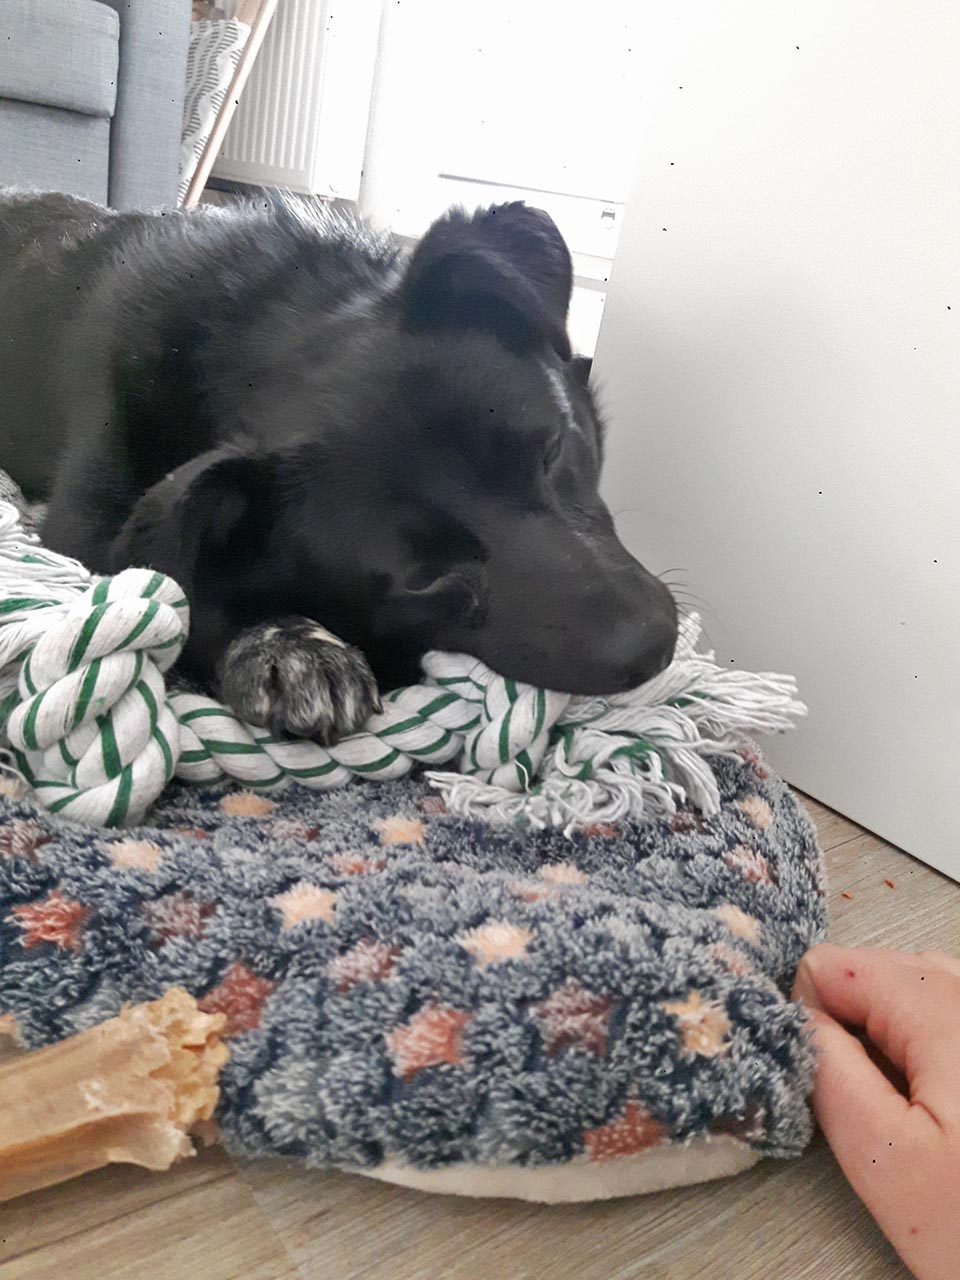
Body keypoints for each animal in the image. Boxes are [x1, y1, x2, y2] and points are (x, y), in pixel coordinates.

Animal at [0, 189, 677, 742]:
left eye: (554, 449)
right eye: (422, 577)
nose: (657, 646)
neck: (249, 329)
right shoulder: (86, 531)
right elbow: (180, 592)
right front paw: (290, 646)